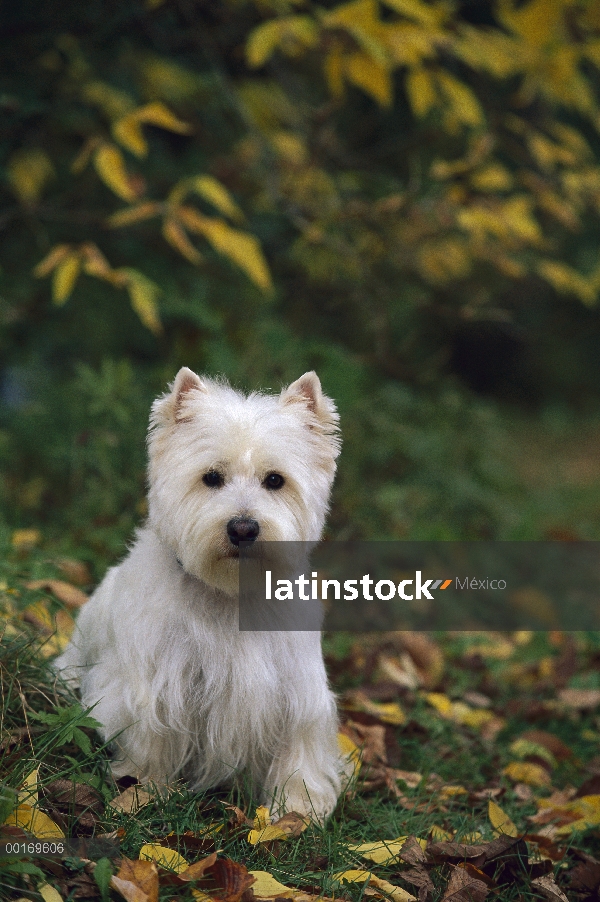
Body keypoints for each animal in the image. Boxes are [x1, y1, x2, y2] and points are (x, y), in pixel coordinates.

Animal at [56, 370, 346, 828]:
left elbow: (299, 752)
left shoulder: (298, 693)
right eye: (211, 477)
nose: (243, 528)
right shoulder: (155, 685)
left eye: (275, 480)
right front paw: (145, 789)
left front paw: (298, 811)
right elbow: (150, 736)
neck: (229, 593)